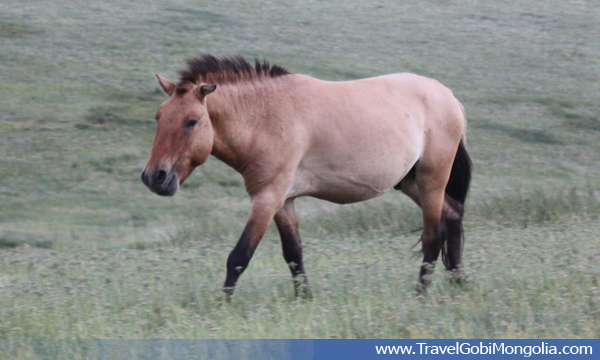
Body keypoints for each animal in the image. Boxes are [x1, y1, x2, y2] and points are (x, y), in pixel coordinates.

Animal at [143, 54, 472, 298]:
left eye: (192, 122)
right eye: (159, 117)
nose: (154, 178)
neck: (264, 117)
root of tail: (449, 97)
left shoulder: (266, 198)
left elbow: (238, 257)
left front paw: (221, 308)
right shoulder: (283, 201)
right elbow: (293, 252)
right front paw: (304, 299)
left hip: (431, 180)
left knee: (433, 236)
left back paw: (421, 294)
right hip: (411, 182)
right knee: (454, 214)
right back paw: (458, 283)